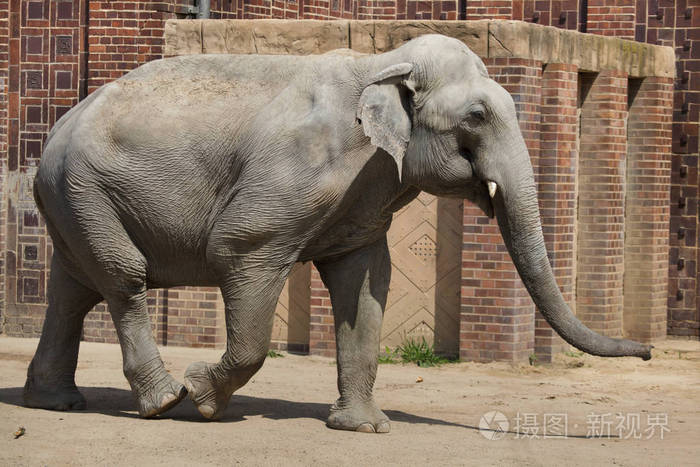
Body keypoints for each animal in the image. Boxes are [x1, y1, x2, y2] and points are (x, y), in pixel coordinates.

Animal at [24, 34, 652, 433]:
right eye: (476, 117)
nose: (647, 352)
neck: (383, 63)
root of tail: (56, 129)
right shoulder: (290, 178)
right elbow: (240, 248)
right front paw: (202, 398)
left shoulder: (364, 201)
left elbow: (365, 282)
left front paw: (366, 429)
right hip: (86, 189)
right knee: (122, 279)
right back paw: (160, 403)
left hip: (74, 199)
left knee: (72, 291)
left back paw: (55, 403)